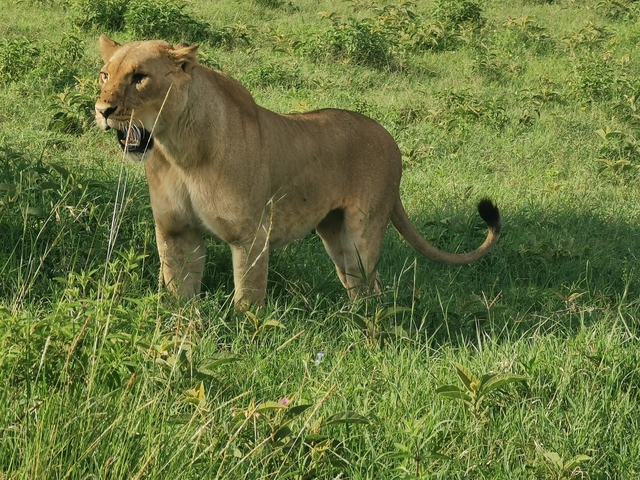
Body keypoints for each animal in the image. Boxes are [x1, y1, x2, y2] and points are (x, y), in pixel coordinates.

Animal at [94, 35, 501, 311]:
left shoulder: (251, 236)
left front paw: (244, 341)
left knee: (371, 286)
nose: (101, 110)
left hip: (362, 233)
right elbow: (179, 296)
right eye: (104, 75)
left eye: (140, 77)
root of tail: (390, 139)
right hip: (334, 233)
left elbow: (248, 298)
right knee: (361, 285)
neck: (178, 150)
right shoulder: (177, 233)